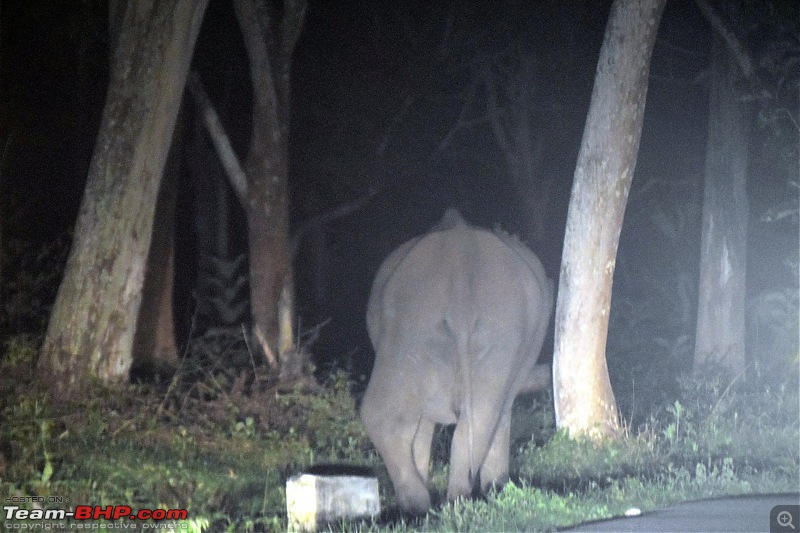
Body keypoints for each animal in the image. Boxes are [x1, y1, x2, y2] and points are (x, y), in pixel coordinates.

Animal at [360, 207, 552, 512]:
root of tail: (460, 260)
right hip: (501, 324)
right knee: (482, 413)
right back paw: (462, 498)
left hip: (411, 324)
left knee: (381, 413)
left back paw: (420, 505)